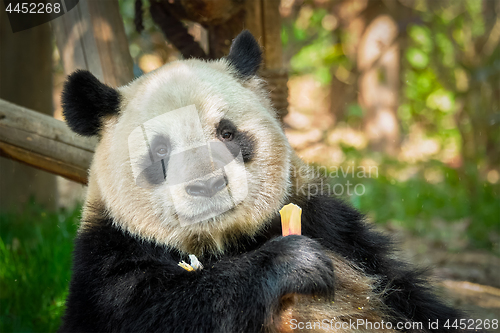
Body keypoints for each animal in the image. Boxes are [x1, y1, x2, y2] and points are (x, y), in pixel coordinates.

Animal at [59, 29, 480, 330]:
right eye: (160, 151)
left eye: (227, 132)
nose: (207, 186)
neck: (223, 242)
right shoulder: (109, 257)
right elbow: (152, 309)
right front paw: (293, 262)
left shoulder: (331, 225)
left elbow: (407, 296)